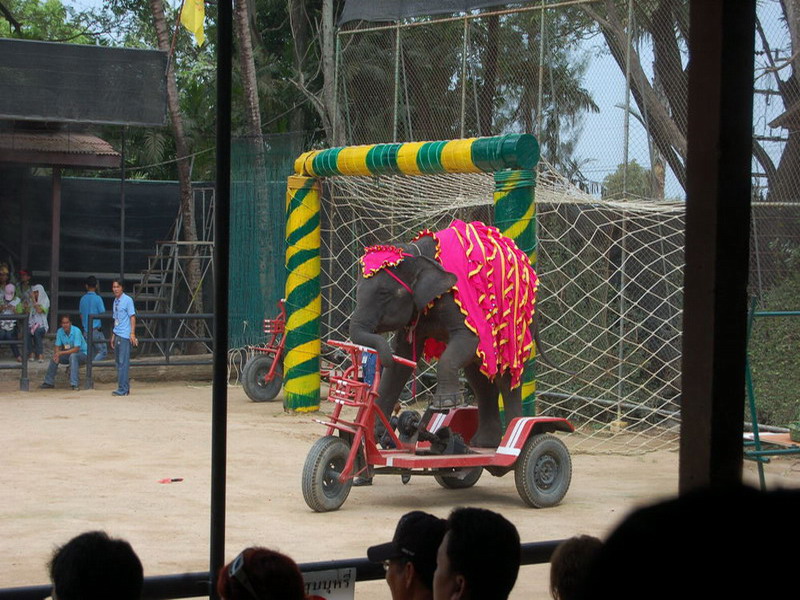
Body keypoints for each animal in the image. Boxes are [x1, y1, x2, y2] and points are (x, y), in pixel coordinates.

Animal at [348, 218, 536, 448]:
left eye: (384, 293)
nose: (382, 360)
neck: (417, 254)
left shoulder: (459, 301)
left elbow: (469, 338)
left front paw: (444, 403)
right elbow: (402, 359)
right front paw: (375, 433)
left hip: (515, 326)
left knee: (505, 377)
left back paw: (513, 435)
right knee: (478, 378)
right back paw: (483, 444)